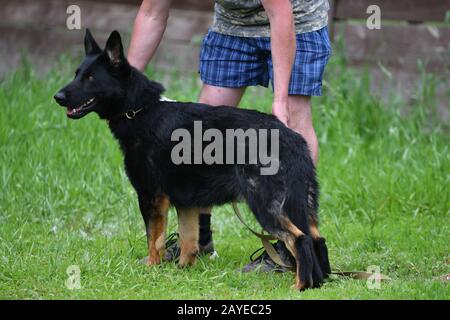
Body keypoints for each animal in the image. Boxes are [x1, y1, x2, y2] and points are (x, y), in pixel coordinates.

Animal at [55, 30, 330, 290]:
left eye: (91, 78)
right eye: (77, 74)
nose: (57, 97)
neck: (140, 110)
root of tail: (293, 139)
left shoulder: (151, 197)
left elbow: (153, 239)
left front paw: (152, 268)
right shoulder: (186, 203)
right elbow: (189, 241)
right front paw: (181, 271)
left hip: (265, 205)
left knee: (300, 239)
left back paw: (300, 285)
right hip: (301, 206)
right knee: (318, 239)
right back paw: (319, 282)